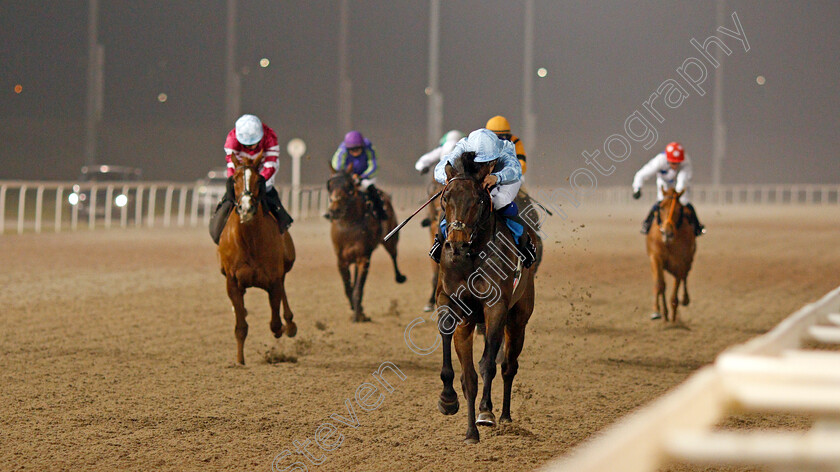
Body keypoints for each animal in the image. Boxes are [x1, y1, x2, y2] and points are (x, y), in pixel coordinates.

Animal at [218, 153, 296, 364]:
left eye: (259, 179)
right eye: (235, 179)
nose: (246, 208)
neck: (250, 240)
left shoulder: (273, 279)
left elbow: (275, 324)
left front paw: (285, 327)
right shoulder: (232, 282)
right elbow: (241, 327)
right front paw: (240, 361)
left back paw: (290, 325)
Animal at [326, 169, 406, 320]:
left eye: (349, 186)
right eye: (330, 186)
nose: (334, 210)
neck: (350, 225)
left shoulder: (364, 258)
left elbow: (358, 288)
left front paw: (358, 316)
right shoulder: (341, 260)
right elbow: (348, 288)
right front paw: (356, 309)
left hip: (391, 238)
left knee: (394, 254)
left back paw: (400, 277)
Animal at [436, 154, 536, 442]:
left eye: (478, 200)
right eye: (446, 197)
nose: (456, 244)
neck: (471, 257)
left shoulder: (495, 307)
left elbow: (488, 364)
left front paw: (485, 412)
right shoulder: (449, 301)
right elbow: (466, 373)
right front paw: (449, 401)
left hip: (518, 319)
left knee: (509, 367)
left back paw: (505, 416)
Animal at [648, 186, 696, 322]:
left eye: (679, 209)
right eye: (661, 207)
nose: (667, 233)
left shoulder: (680, 262)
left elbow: (676, 289)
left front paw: (674, 314)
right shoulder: (656, 257)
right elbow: (660, 284)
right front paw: (657, 311)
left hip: (688, 260)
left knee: (685, 276)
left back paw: (684, 300)